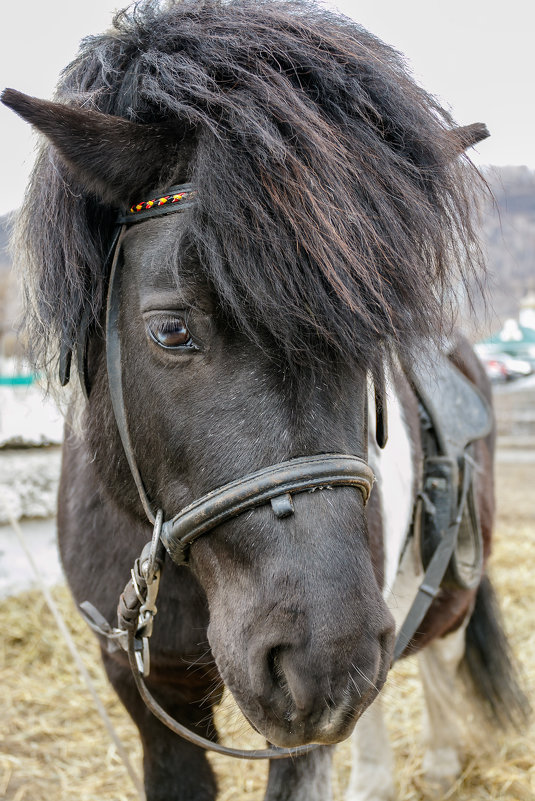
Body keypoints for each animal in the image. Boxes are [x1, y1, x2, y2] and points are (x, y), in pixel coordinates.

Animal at [1, 3, 528, 796]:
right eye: (171, 329)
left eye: (376, 338)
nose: (327, 661)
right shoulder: (145, 691)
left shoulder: (300, 735)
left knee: (434, 647)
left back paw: (435, 762)